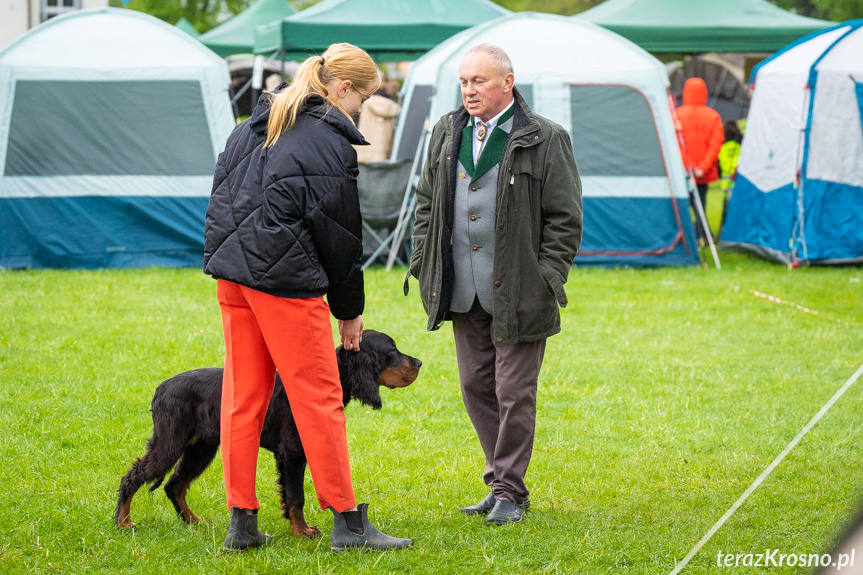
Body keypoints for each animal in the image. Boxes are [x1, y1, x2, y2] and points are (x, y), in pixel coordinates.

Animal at [115, 330, 422, 536]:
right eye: (392, 350)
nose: (419, 363)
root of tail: (161, 388)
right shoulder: (292, 453)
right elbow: (296, 496)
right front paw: (303, 532)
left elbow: (291, 495)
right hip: (170, 442)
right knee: (132, 477)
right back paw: (123, 522)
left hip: (201, 448)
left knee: (174, 485)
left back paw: (194, 521)